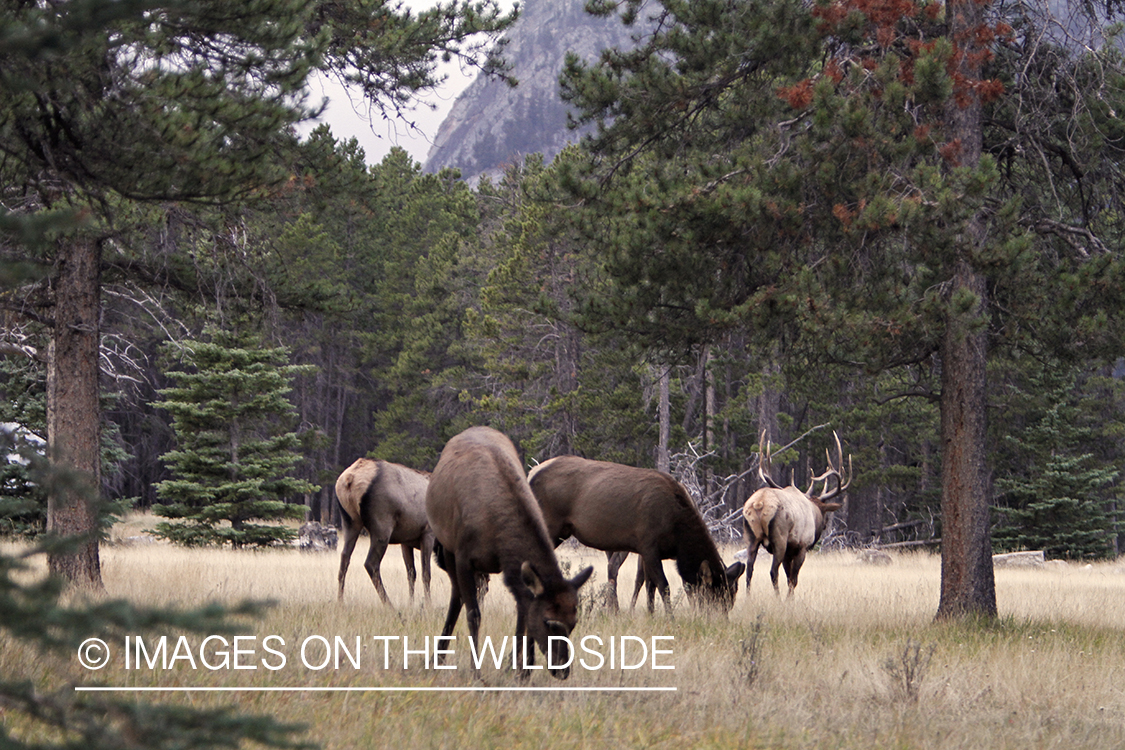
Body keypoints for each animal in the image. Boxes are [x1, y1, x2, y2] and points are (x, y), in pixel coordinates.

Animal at [330, 458, 432, 611]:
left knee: (344, 557)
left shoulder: (406, 541)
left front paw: (411, 604)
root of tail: (349, 479)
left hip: (350, 522)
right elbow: (426, 574)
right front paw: (428, 605)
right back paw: (389, 605)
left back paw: (340, 601)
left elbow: (411, 573)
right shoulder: (428, 533)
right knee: (370, 563)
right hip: (382, 526)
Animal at [423, 427, 598, 679]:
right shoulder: (464, 557)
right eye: (548, 622)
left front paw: (519, 668)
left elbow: (522, 614)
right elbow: (474, 614)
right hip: (446, 547)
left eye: (573, 622)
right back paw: (436, 657)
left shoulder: (511, 567)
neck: (496, 531)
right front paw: (477, 672)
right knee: (456, 598)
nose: (562, 670)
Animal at [528, 458, 742, 616]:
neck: (677, 535)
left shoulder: (648, 551)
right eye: (714, 597)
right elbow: (663, 585)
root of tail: (531, 473)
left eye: (731, 598)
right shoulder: (648, 545)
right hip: (550, 526)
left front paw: (651, 614)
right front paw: (670, 618)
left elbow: (650, 585)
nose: (719, 620)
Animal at [742, 434, 846, 598]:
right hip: (779, 539)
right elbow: (793, 579)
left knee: (749, 570)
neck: (814, 511)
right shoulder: (801, 546)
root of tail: (759, 503)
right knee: (773, 571)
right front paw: (789, 599)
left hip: (751, 537)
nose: (823, 526)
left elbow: (789, 577)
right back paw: (778, 599)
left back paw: (748, 598)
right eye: (826, 515)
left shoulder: (789, 552)